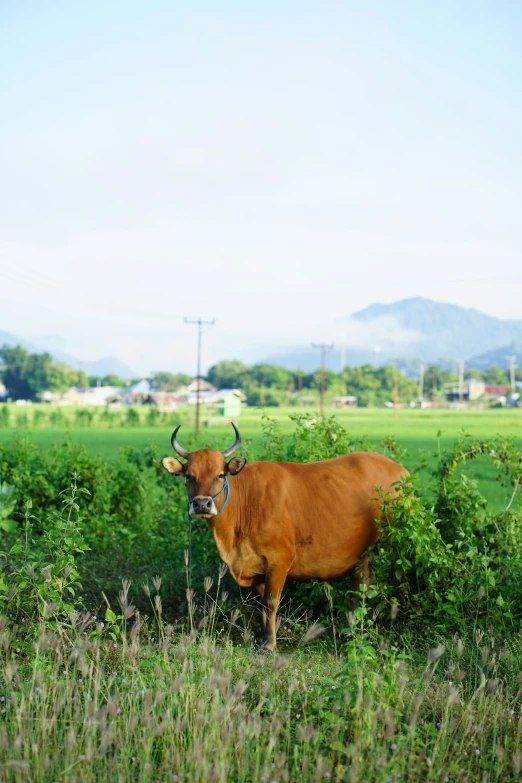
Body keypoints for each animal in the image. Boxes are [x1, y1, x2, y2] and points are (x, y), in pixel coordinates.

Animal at [161, 422, 406, 648]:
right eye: (188, 476)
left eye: (220, 475)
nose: (202, 504)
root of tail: (400, 470)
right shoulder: (256, 567)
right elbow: (260, 604)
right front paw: (262, 638)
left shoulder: (279, 560)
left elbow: (271, 602)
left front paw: (269, 643)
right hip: (363, 555)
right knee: (360, 587)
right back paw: (351, 631)